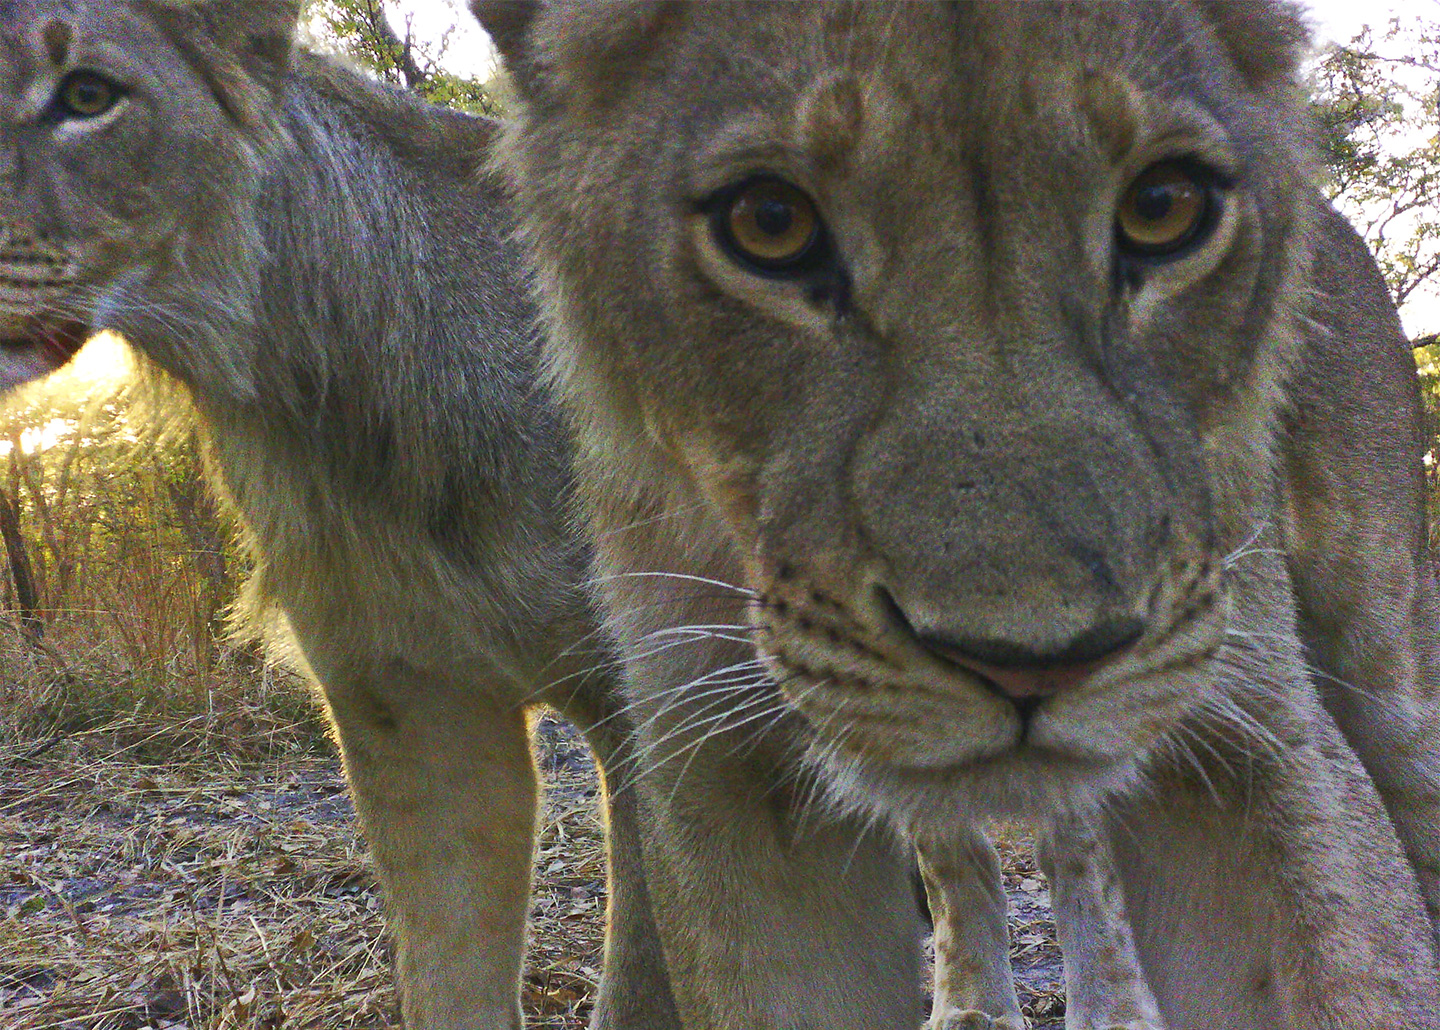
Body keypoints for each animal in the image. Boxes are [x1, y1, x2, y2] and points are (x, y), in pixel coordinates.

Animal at [479, 1, 1440, 1027]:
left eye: (1165, 207)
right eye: (769, 223)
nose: (1031, 666)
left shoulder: (1248, 724)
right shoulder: (719, 762)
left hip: (1383, 649)